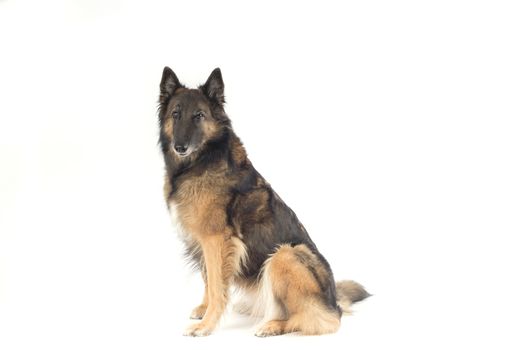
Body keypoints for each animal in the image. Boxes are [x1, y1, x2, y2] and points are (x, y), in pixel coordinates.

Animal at [157, 67, 368, 338]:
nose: (180, 146)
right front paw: (204, 311)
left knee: (321, 319)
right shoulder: (203, 242)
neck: (203, 159)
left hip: (285, 255)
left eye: (199, 116)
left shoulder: (216, 240)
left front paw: (206, 325)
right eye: (176, 114)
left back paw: (272, 325)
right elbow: (207, 279)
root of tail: (334, 302)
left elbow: (216, 285)